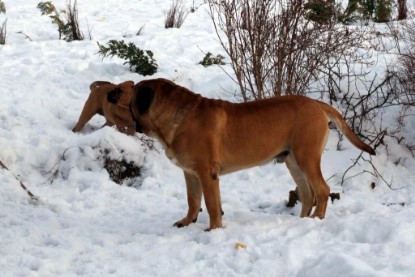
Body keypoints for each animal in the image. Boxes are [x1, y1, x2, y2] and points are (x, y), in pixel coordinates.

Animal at [118, 77, 376, 229]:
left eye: (129, 99)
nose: (116, 96)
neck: (177, 117)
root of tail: (316, 103)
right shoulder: (190, 173)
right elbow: (193, 200)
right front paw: (187, 222)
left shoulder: (206, 173)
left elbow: (211, 204)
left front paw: (213, 230)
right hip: (292, 161)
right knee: (306, 192)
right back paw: (301, 221)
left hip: (307, 157)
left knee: (321, 190)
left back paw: (316, 220)